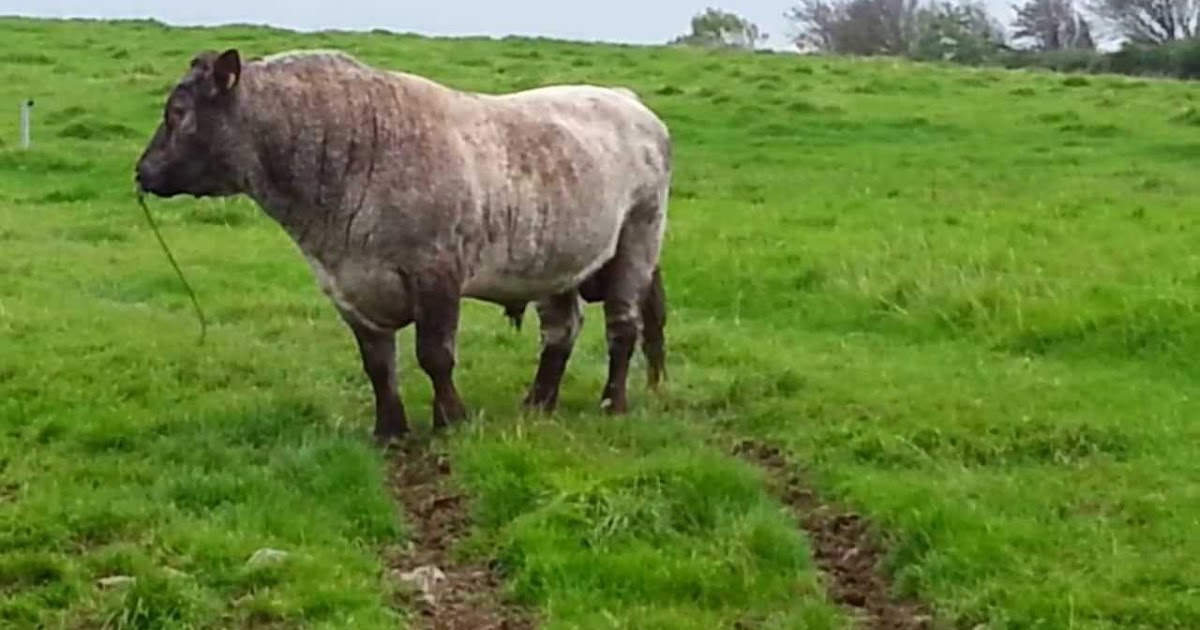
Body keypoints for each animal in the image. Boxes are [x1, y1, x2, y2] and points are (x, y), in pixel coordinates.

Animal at [134, 48, 671, 442]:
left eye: (178, 112)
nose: (142, 171)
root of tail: (626, 100)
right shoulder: (347, 287)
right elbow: (377, 364)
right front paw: (390, 430)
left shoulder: (436, 274)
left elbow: (434, 354)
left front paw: (450, 419)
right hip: (555, 260)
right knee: (561, 331)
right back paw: (538, 402)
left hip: (638, 238)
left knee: (623, 327)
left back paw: (613, 402)